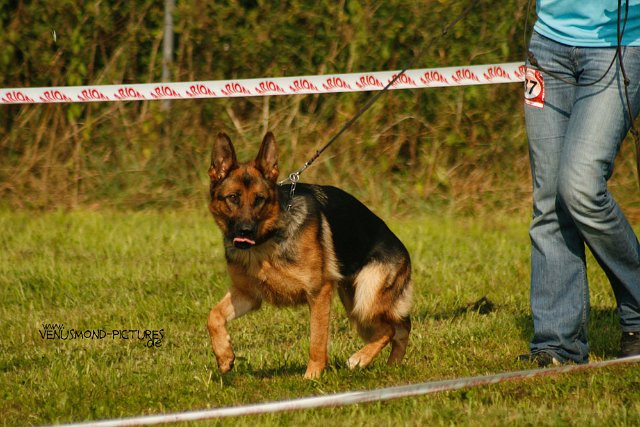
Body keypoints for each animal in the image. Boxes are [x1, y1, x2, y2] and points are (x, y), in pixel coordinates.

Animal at [206, 132, 413, 379]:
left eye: (259, 199)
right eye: (233, 198)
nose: (245, 231)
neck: (268, 240)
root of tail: (403, 250)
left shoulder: (319, 292)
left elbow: (317, 340)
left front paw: (312, 377)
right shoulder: (247, 295)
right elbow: (213, 316)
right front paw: (224, 356)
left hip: (366, 298)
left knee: (390, 328)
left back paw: (360, 359)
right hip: (354, 303)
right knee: (401, 327)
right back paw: (392, 366)